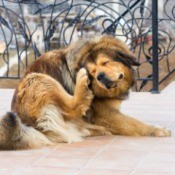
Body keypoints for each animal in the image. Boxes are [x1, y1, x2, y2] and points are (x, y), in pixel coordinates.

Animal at [0, 34, 171, 150]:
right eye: (93, 72)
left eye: (105, 62)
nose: (99, 76)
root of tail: (27, 124)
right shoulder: (105, 114)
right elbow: (136, 123)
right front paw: (157, 130)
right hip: (36, 79)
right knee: (72, 107)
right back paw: (82, 85)